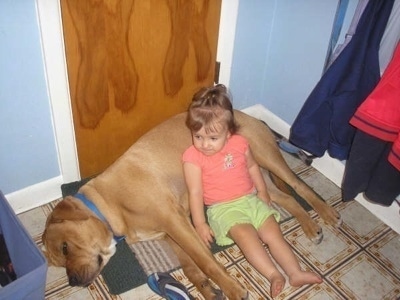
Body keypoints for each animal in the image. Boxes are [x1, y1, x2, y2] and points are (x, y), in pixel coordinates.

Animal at [41, 110, 340, 300]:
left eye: (65, 247)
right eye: (59, 261)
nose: (73, 281)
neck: (108, 205)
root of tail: (249, 115)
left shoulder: (176, 222)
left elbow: (206, 262)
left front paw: (232, 289)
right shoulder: (169, 233)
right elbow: (189, 266)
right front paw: (206, 289)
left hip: (265, 155)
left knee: (300, 186)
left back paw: (325, 213)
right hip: (254, 184)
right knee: (286, 197)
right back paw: (310, 227)